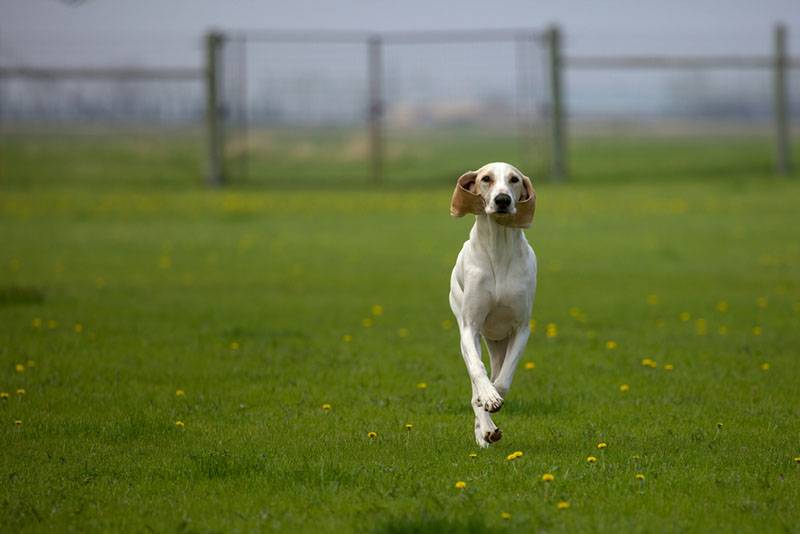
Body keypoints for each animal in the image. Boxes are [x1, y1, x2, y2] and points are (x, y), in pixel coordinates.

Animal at [450, 162, 536, 448]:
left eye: (514, 179)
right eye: (486, 178)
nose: (502, 200)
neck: (498, 249)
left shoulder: (521, 329)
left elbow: (505, 377)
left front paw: (493, 396)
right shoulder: (470, 327)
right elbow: (479, 372)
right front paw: (486, 398)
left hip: (499, 343)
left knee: (496, 369)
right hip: (470, 338)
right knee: (475, 371)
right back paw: (484, 427)